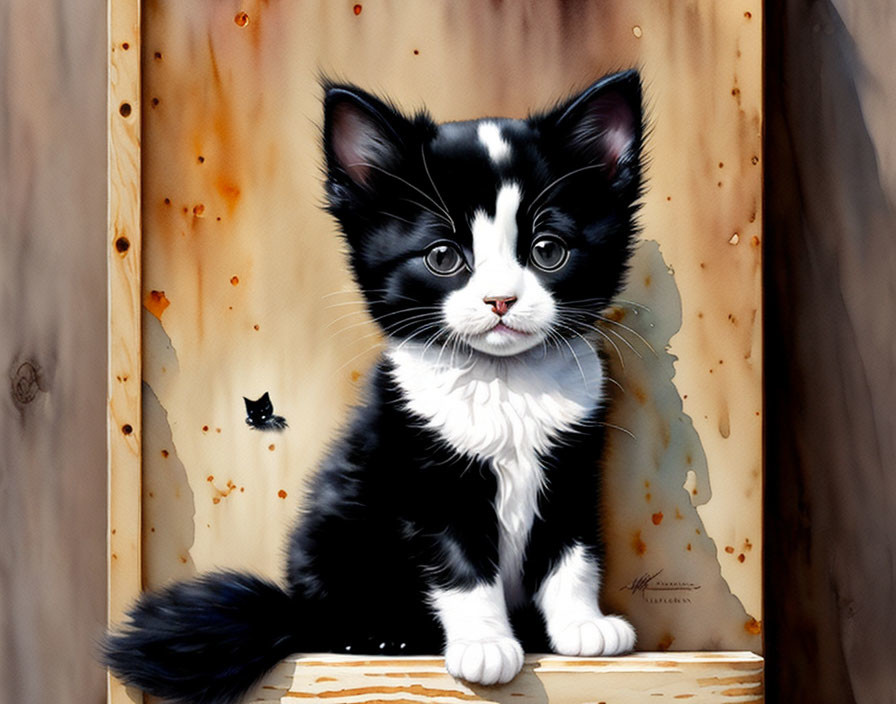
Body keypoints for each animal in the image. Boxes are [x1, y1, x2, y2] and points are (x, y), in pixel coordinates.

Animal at [103, 70, 644, 704]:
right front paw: (485, 644)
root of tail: (297, 609)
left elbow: (571, 549)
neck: (503, 384)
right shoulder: (421, 472)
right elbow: (460, 565)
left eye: (548, 250)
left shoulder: (573, 463)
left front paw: (582, 625)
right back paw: (389, 635)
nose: (501, 300)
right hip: (339, 537)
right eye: (443, 257)